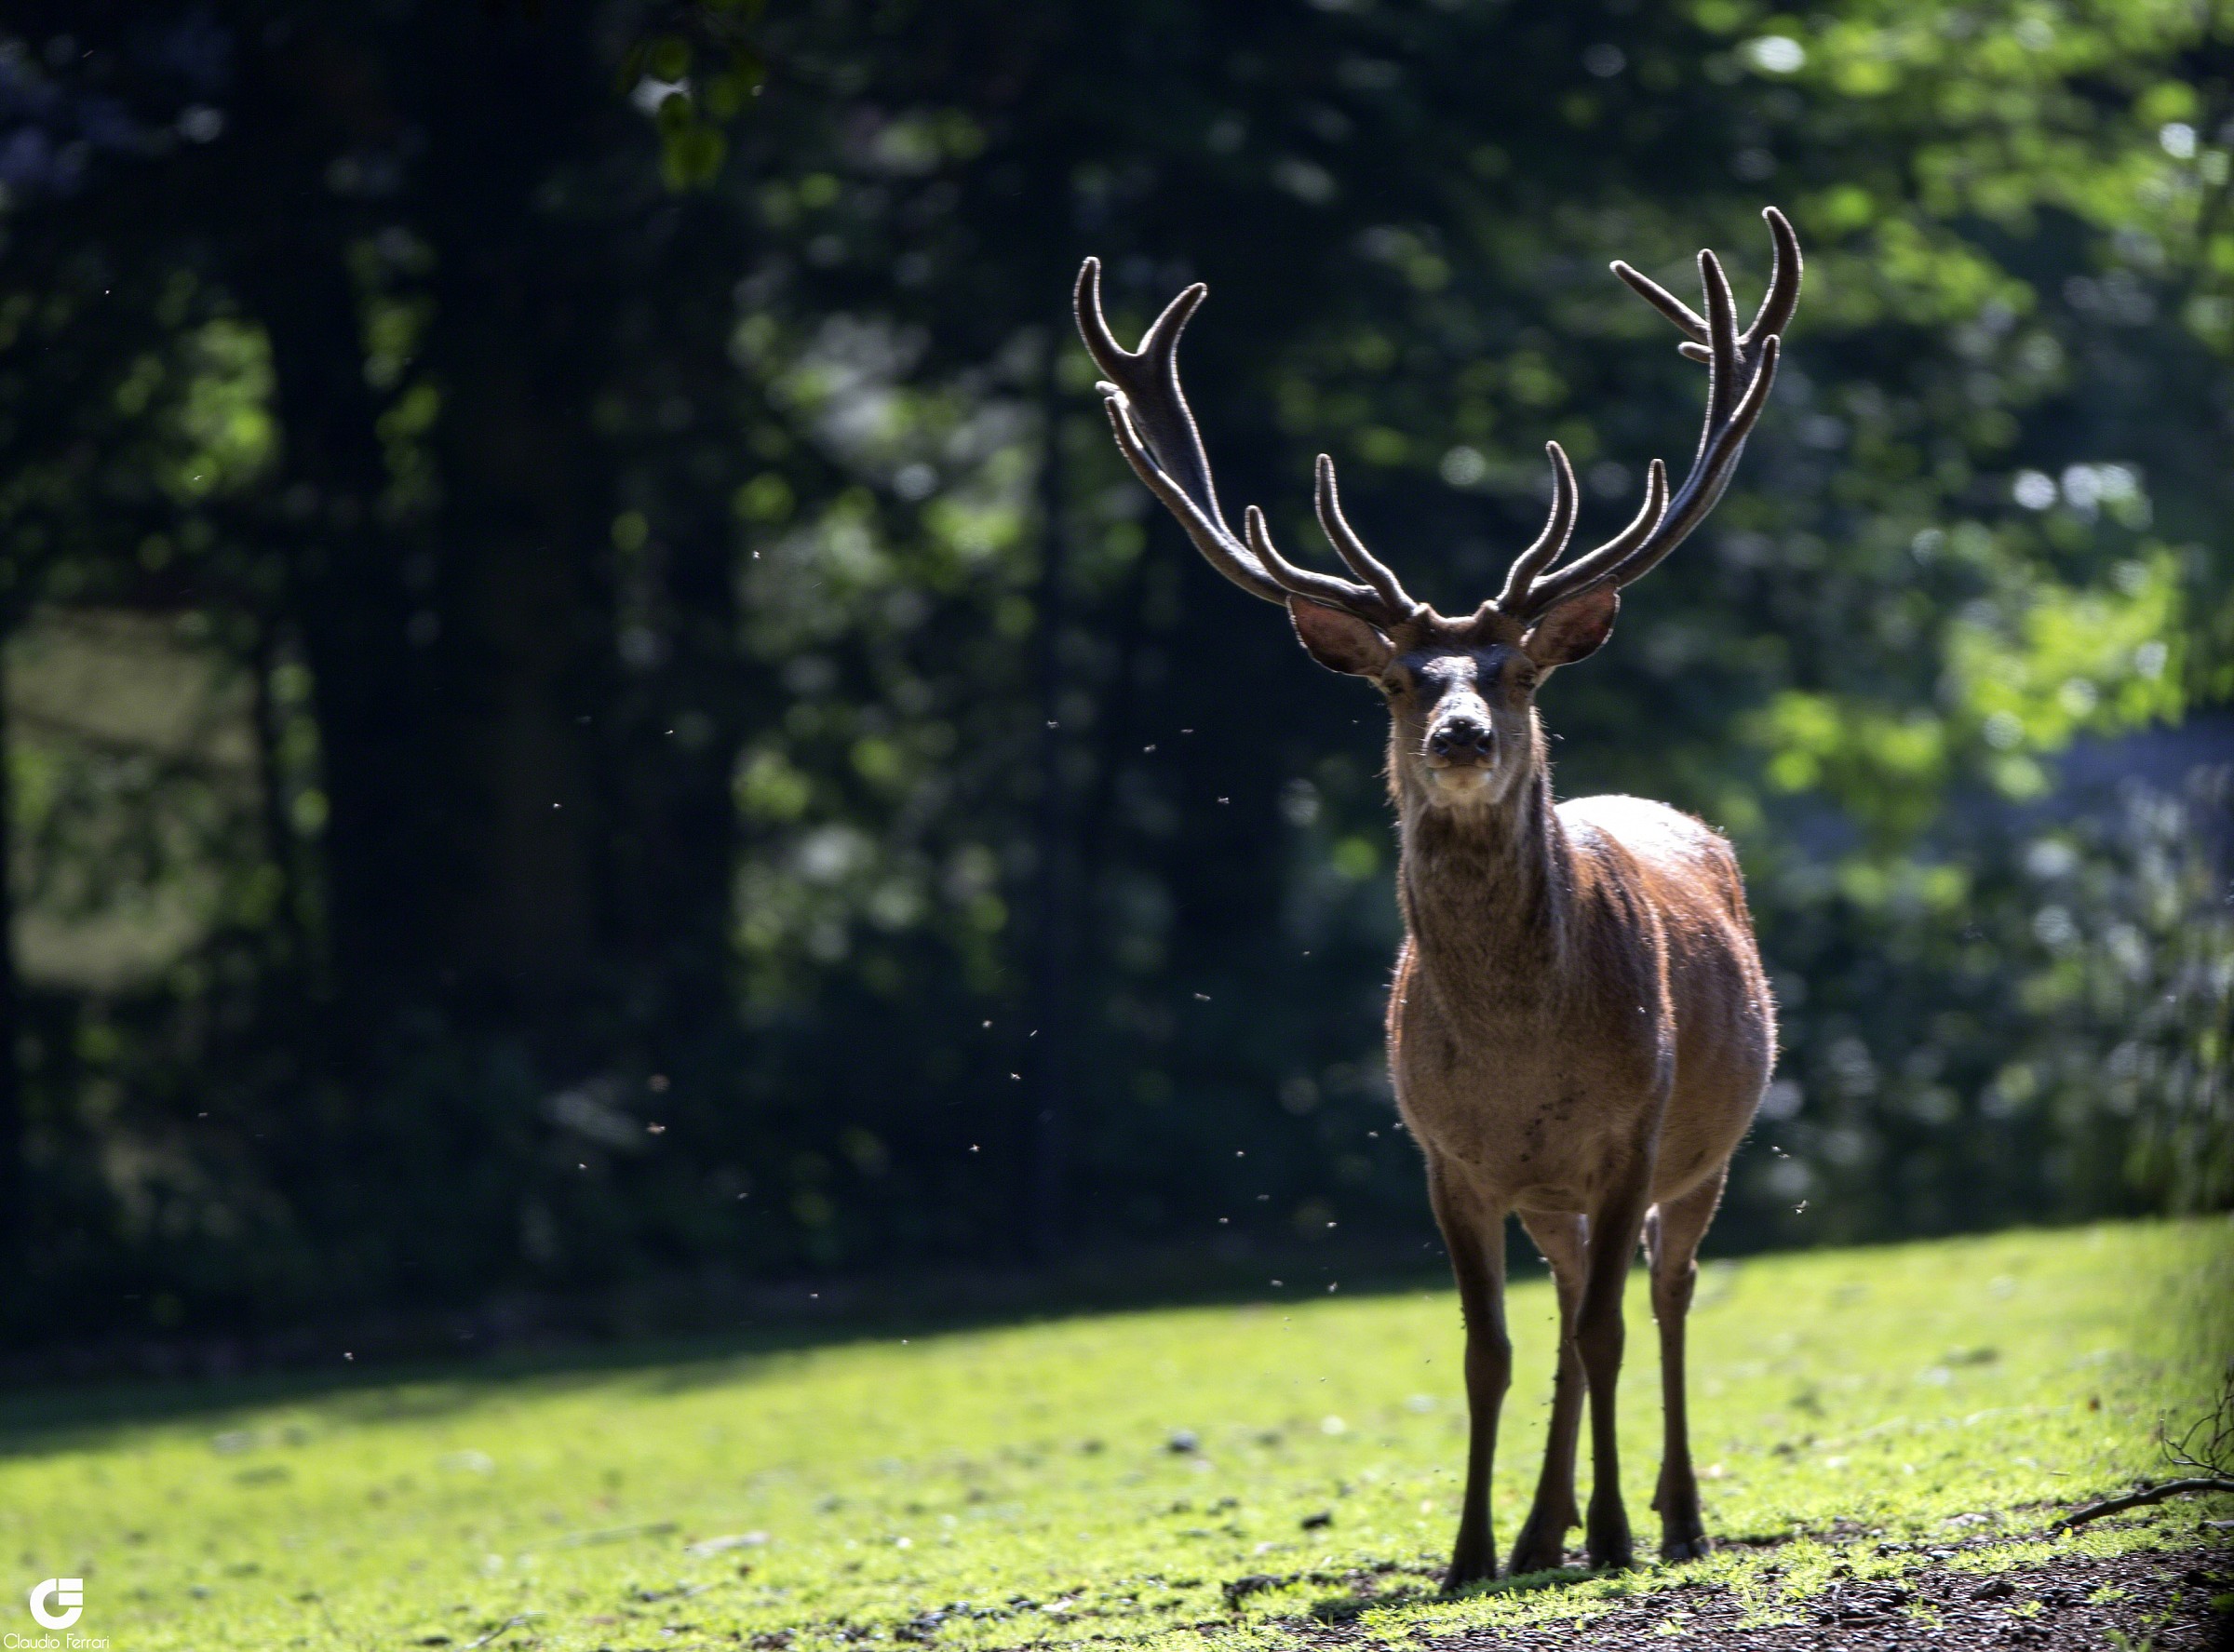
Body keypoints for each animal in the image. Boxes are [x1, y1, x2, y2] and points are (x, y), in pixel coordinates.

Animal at [1074, 208, 1800, 1586]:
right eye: (1403, 681)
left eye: (1513, 670)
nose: (1462, 733)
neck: (1519, 1048)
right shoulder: (1445, 1153)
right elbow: (1488, 1351)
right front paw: (1469, 1549)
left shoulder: (1633, 1129)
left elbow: (1613, 1331)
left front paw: (1615, 1533)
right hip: (1552, 1194)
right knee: (1569, 1305)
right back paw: (1539, 1529)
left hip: (1707, 1148)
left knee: (1662, 1294)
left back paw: (1671, 1514)